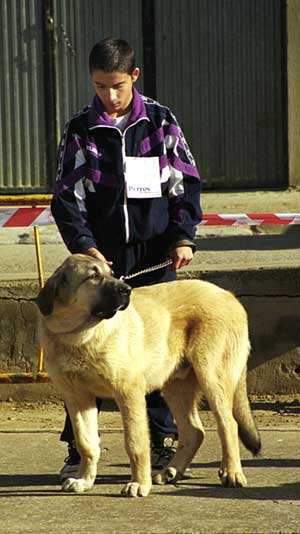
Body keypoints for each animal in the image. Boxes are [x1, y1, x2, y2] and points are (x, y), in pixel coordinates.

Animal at [34, 255, 260, 498]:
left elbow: (135, 442)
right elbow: (87, 443)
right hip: (176, 387)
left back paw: (232, 473)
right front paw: (84, 480)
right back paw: (171, 471)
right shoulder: (77, 398)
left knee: (228, 424)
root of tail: (229, 295)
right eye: (94, 275)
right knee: (194, 431)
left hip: (212, 376)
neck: (79, 335)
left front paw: (138, 484)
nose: (127, 290)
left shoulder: (128, 391)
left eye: (110, 272)